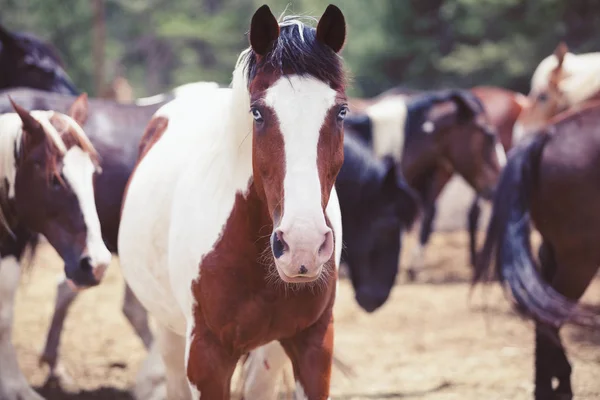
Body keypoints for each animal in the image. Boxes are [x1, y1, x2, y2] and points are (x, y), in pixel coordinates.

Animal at [118, 4, 346, 398]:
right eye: (258, 113)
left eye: (341, 112)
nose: (302, 246)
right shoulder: (207, 357)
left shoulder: (314, 346)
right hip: (169, 331)